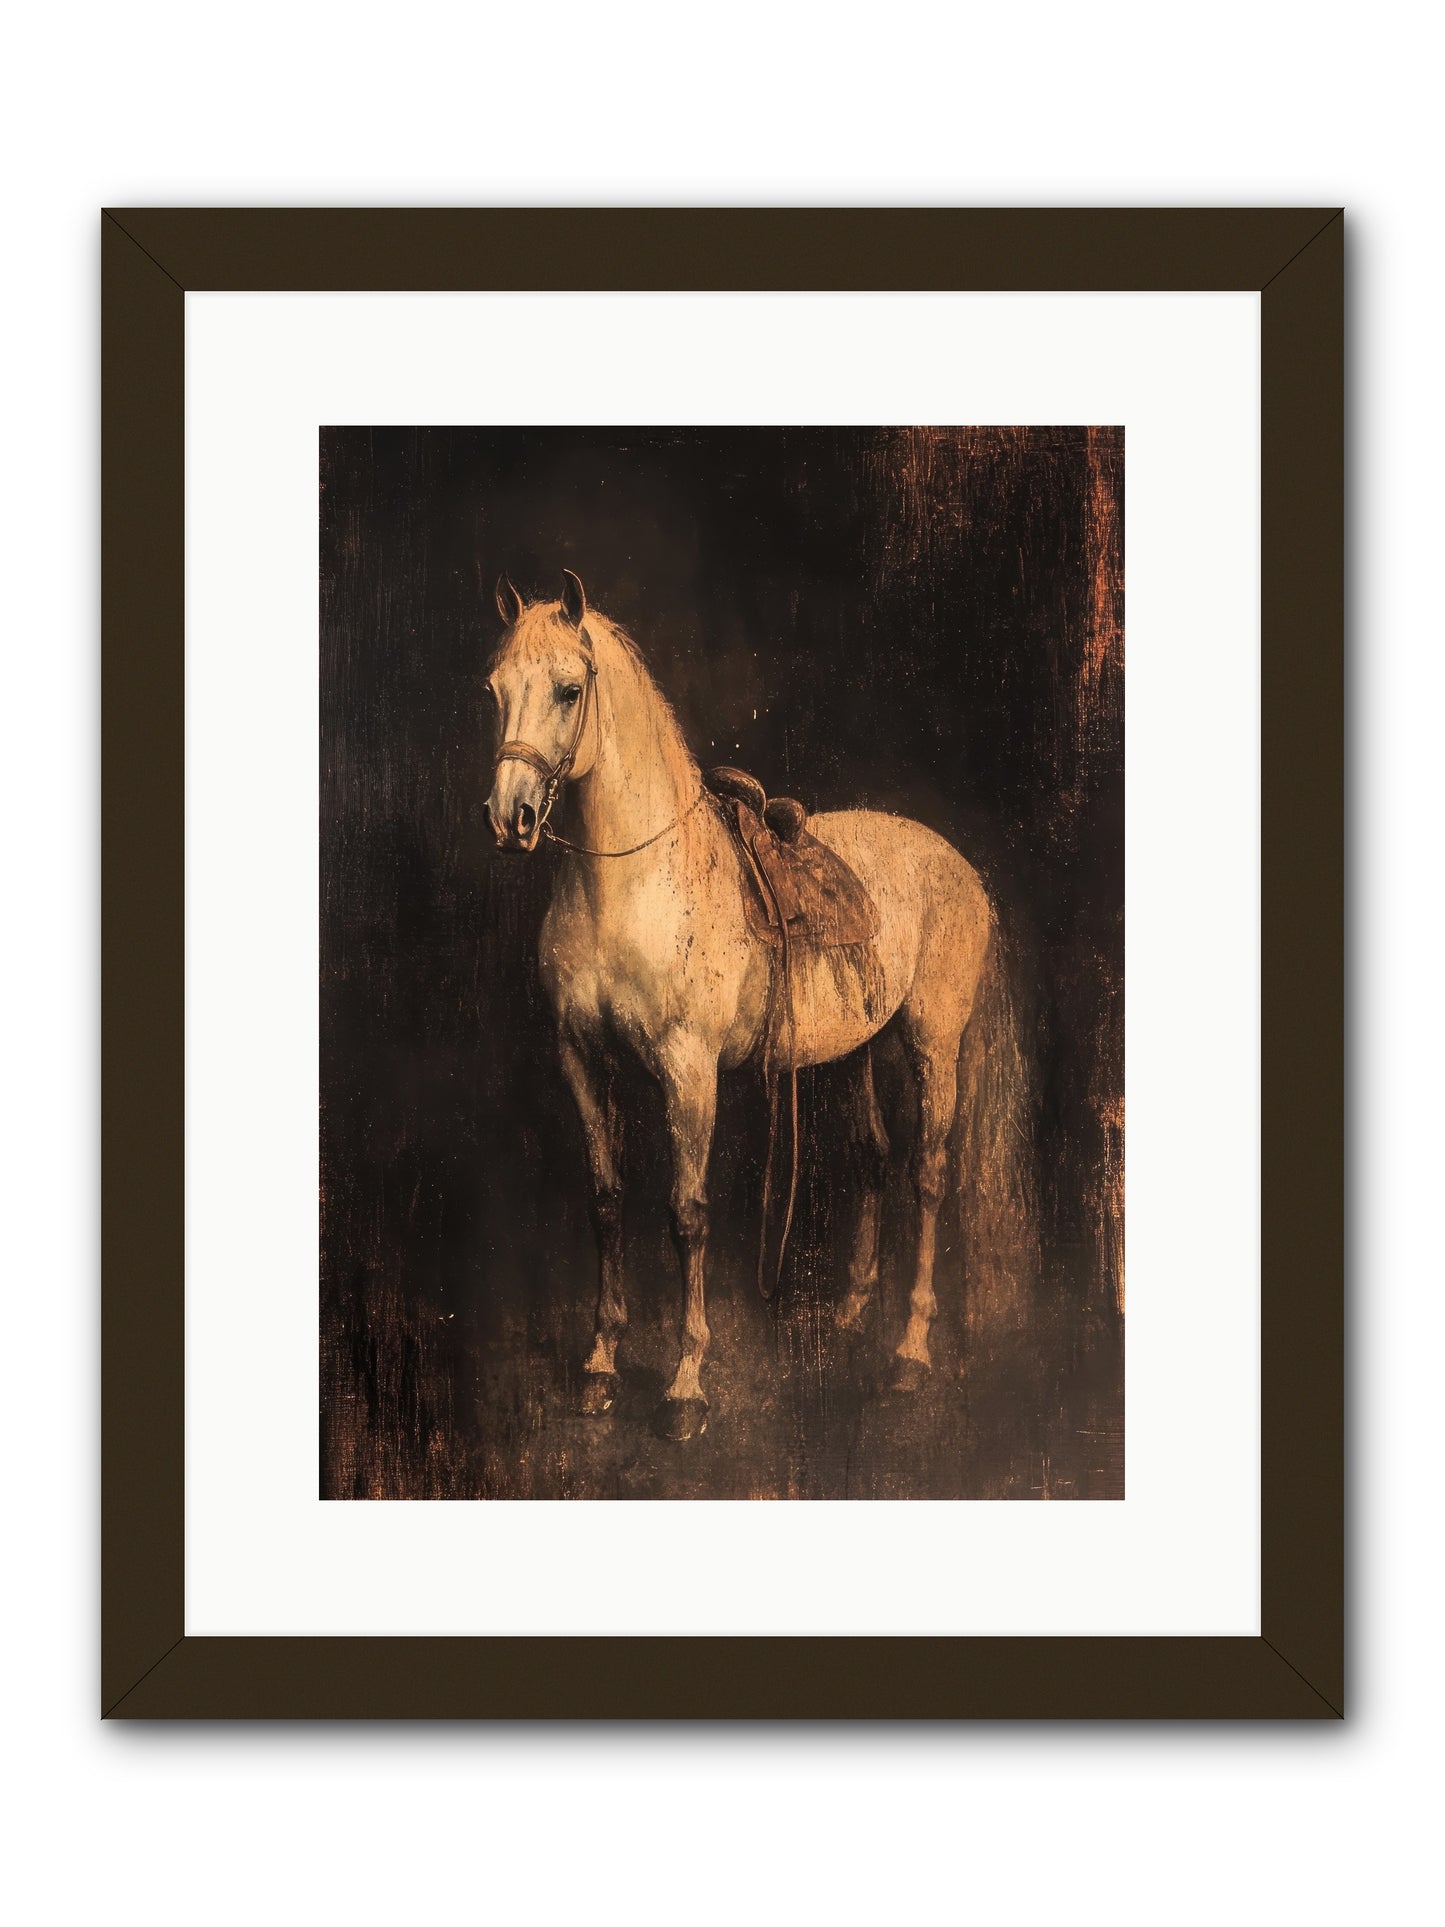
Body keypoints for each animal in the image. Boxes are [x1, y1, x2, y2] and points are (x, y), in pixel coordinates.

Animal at [484, 570, 1031, 1441]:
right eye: (496, 689)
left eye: (569, 690)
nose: (511, 819)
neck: (633, 883)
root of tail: (957, 864)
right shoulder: (581, 1058)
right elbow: (606, 1201)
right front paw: (601, 1365)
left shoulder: (688, 1072)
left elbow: (687, 1213)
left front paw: (685, 1384)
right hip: (854, 1051)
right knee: (873, 1158)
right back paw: (849, 1313)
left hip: (930, 1044)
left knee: (927, 1173)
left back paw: (910, 1349)